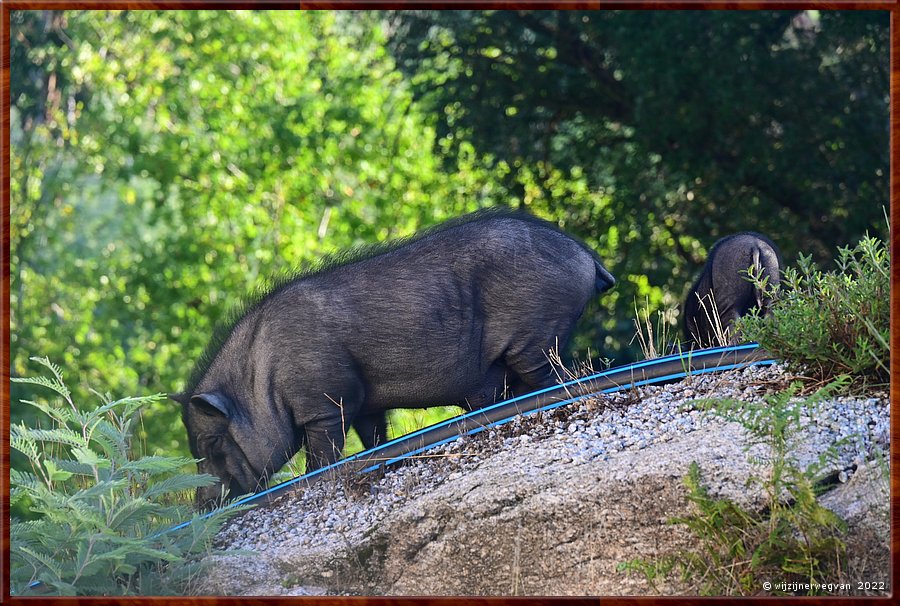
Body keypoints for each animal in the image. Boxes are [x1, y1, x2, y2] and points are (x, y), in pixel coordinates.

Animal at [171, 209, 616, 508]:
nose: (203, 506)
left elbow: (323, 453)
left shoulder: (325, 402)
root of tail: (586, 256)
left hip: (535, 337)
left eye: (211, 442)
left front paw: (316, 477)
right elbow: (373, 437)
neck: (260, 380)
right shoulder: (364, 402)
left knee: (550, 378)